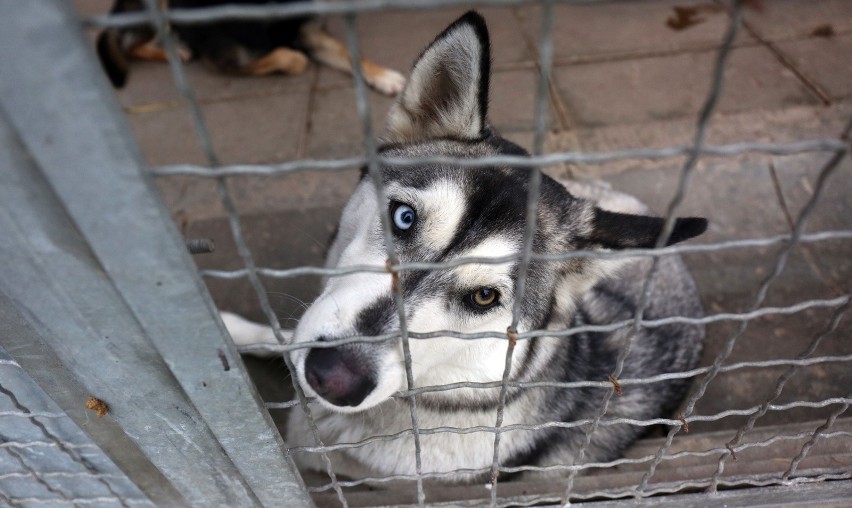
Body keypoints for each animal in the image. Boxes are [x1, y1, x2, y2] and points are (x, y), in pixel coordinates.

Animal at [95, 0, 408, 95]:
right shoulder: (223, 60)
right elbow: (291, 58)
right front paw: (293, 56)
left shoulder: (311, 33)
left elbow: (352, 54)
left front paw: (384, 77)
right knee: (129, 45)